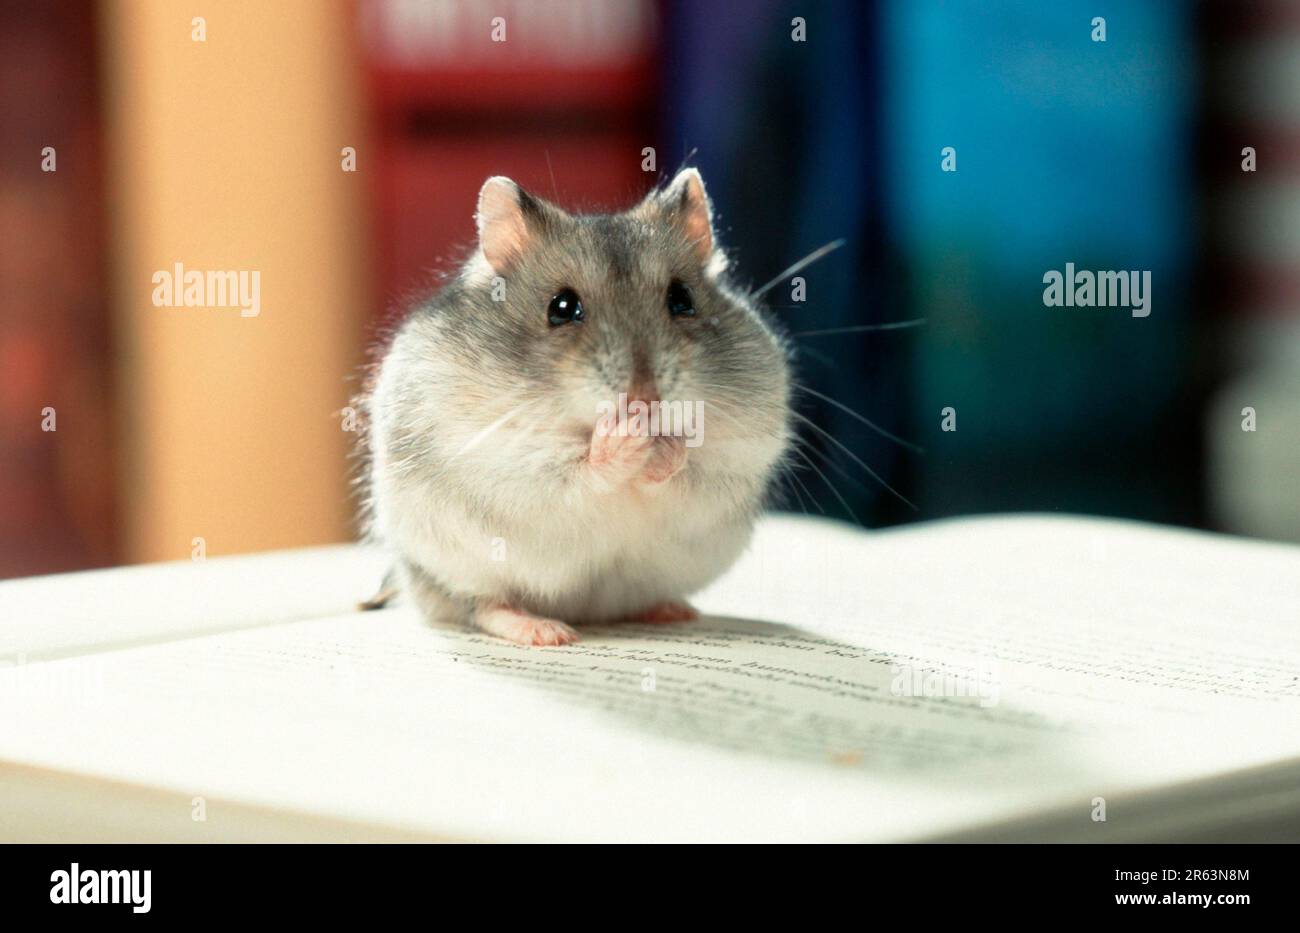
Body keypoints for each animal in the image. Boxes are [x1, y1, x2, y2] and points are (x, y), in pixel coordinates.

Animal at [360, 168, 791, 646]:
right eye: (562, 308)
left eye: (683, 300)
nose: (645, 401)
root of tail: (584, 612)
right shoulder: (502, 458)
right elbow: (578, 471)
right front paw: (626, 439)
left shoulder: (735, 457)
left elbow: (686, 470)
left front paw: (664, 445)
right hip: (452, 569)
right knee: (482, 606)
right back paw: (548, 632)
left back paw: (674, 611)